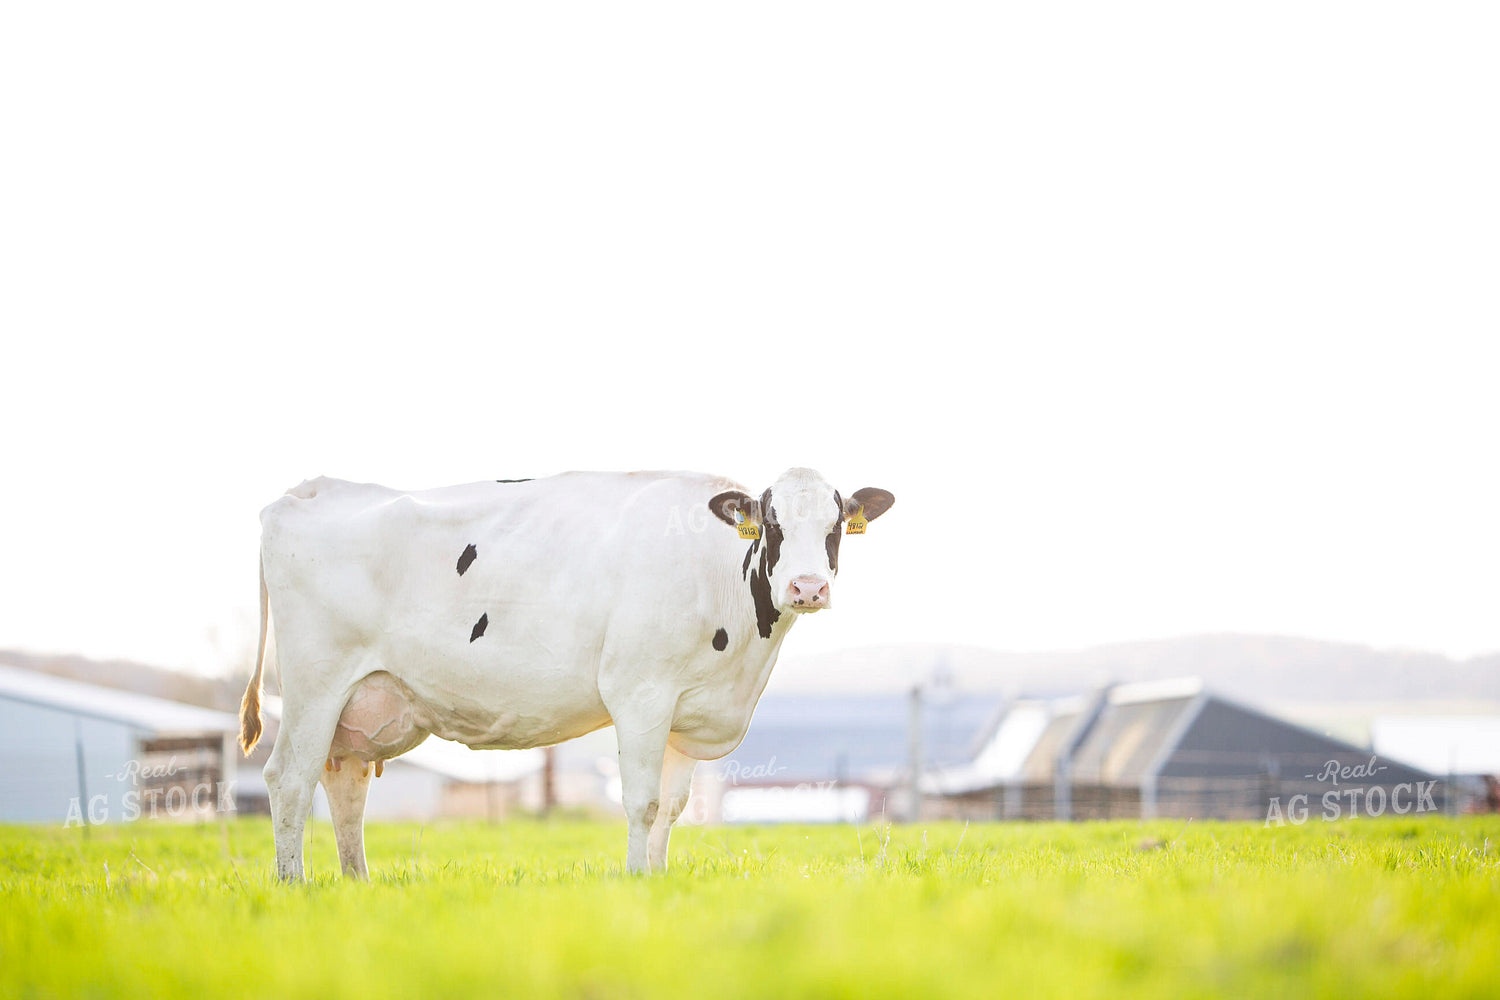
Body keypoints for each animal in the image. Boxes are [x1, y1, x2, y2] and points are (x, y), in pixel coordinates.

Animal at [238, 468, 894, 879]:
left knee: (345, 787)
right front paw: (636, 879)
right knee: (289, 781)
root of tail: (309, 491)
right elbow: (642, 802)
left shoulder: (689, 713)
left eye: (836, 526)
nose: (807, 587)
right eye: (774, 523)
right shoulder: (641, 694)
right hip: (315, 685)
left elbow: (674, 807)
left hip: (361, 699)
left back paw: (358, 882)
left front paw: (662, 879)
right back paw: (295, 884)